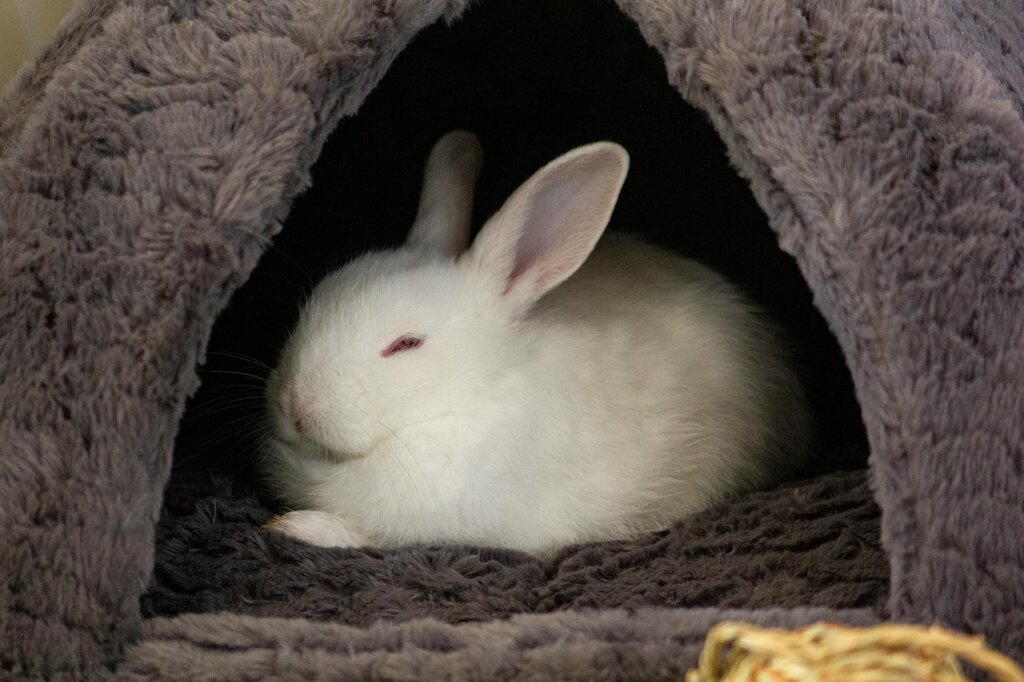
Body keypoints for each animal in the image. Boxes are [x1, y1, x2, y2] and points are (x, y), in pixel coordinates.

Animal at [262, 130, 814, 555]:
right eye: (314, 304)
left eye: (406, 343)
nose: (295, 405)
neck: (459, 406)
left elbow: (374, 536)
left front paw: (299, 527)